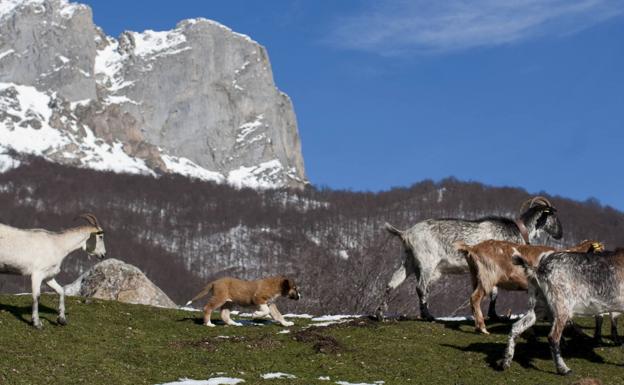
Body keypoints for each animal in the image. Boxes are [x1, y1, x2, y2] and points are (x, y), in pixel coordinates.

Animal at [456, 240, 604, 332]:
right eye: (598, 251)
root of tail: (473, 248)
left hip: (475, 277)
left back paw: (477, 326)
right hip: (487, 278)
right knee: (475, 298)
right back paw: (482, 328)